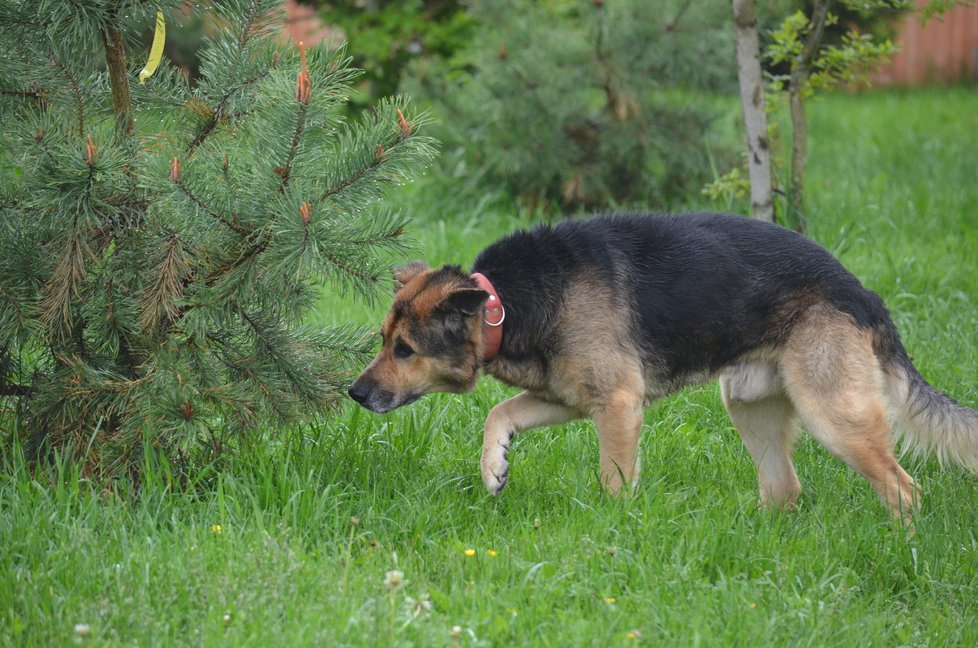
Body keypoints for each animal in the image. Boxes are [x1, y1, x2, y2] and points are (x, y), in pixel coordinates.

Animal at [350, 213, 976, 520]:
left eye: (405, 349)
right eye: (384, 341)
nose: (355, 394)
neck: (505, 302)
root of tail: (862, 294)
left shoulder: (618, 407)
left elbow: (613, 480)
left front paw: (613, 533)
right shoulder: (568, 398)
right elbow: (498, 413)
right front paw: (494, 467)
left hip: (835, 416)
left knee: (903, 487)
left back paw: (901, 543)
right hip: (749, 408)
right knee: (785, 488)